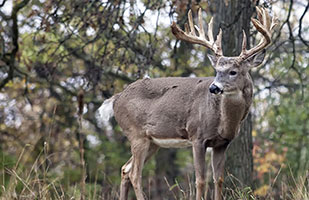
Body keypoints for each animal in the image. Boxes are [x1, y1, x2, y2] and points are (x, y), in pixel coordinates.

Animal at [97, 6, 276, 200]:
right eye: (216, 70)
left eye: (233, 71)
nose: (213, 87)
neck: (224, 121)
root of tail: (117, 98)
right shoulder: (197, 136)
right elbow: (201, 180)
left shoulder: (222, 143)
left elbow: (218, 180)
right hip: (136, 134)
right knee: (135, 174)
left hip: (152, 142)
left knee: (125, 169)